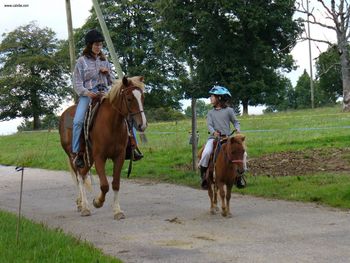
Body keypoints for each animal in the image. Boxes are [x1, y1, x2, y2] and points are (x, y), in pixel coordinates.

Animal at [58, 76, 146, 221]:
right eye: (129, 99)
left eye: (142, 98)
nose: (142, 125)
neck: (111, 124)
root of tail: (64, 114)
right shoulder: (100, 157)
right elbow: (104, 185)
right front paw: (97, 202)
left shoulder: (119, 156)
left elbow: (115, 184)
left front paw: (117, 211)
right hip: (74, 157)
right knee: (79, 177)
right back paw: (84, 207)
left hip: (88, 158)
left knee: (82, 175)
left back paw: (83, 204)